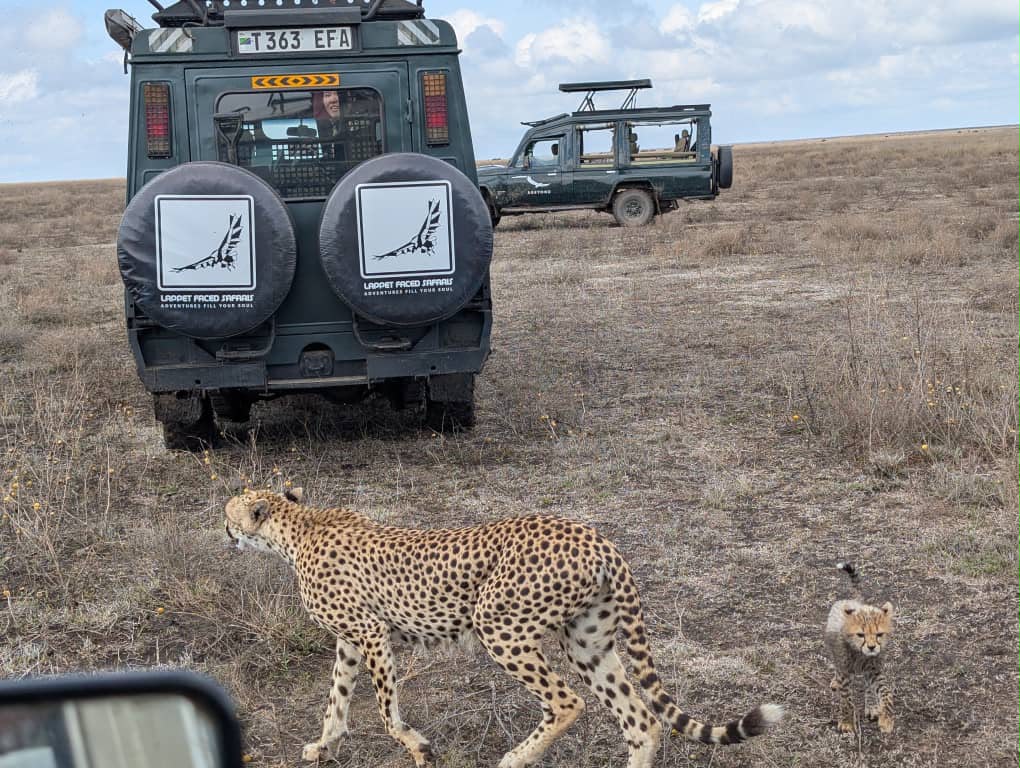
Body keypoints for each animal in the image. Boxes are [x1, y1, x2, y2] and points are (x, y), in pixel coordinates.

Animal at [224, 488, 784, 768]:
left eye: (230, 515)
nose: (223, 531)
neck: (297, 528)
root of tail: (597, 538)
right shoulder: (350, 642)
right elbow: (336, 703)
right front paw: (323, 746)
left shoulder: (371, 634)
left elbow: (385, 712)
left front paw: (417, 747)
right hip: (587, 641)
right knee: (641, 721)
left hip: (498, 624)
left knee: (567, 702)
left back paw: (515, 758)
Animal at [825, 562, 895, 735]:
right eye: (860, 635)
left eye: (879, 634)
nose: (871, 647)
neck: (859, 653)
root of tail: (854, 601)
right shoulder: (845, 672)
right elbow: (847, 699)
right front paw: (847, 722)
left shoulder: (874, 670)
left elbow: (886, 692)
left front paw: (886, 719)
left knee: (868, 686)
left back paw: (872, 706)